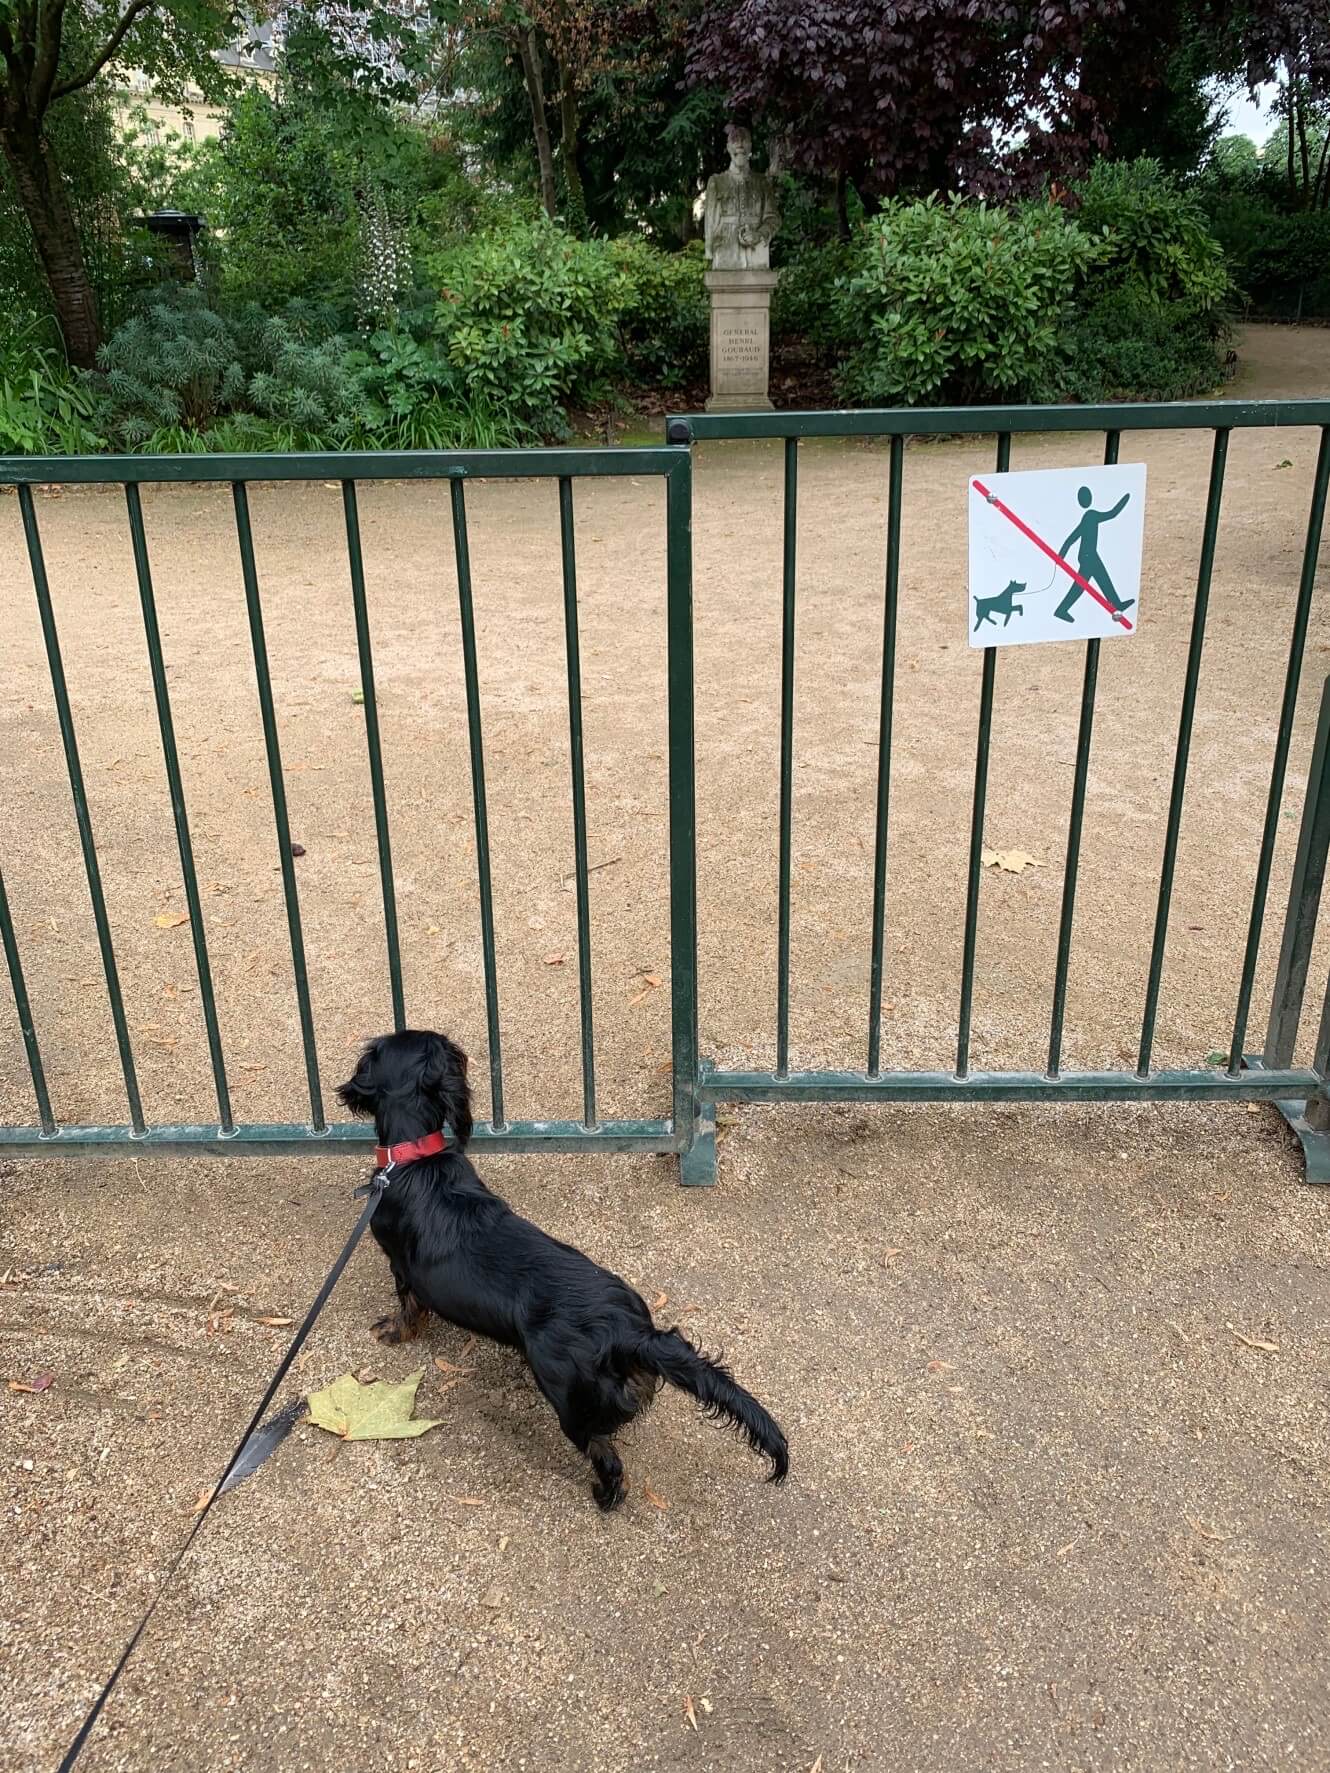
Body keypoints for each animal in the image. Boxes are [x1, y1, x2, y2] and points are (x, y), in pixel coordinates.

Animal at [335, 1028, 790, 1510]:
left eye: (373, 1052)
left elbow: (407, 1307)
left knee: (608, 1460)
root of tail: (630, 1332)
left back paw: (603, 1497)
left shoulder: (399, 1264)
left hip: (572, 1407)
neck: (416, 1158)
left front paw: (392, 1331)